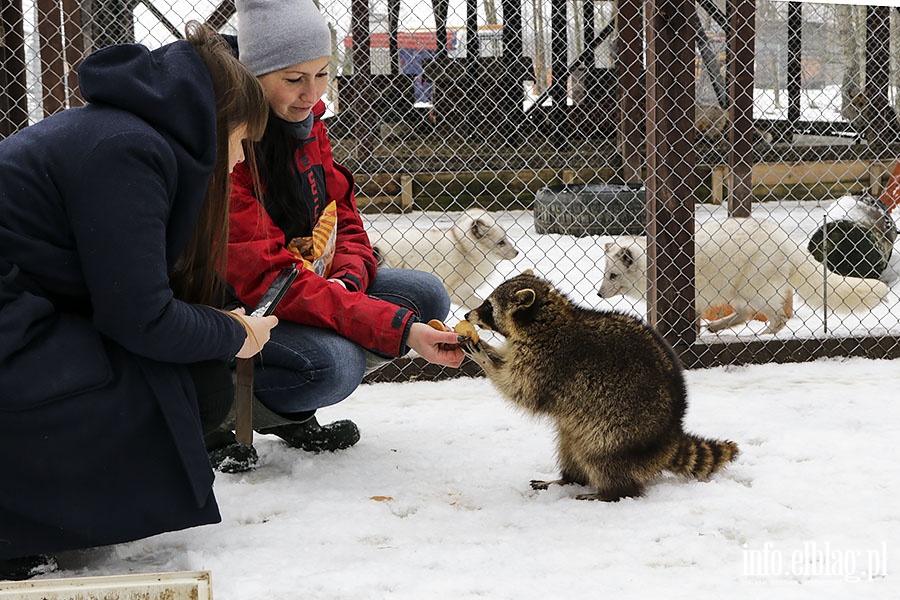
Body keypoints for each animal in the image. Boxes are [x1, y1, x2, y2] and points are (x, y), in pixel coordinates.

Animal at [464, 272, 740, 502]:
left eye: (488, 306)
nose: (467, 315)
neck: (543, 321)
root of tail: (669, 438)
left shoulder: (547, 363)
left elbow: (519, 389)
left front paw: (484, 359)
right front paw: (485, 348)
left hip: (617, 433)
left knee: (599, 458)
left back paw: (609, 492)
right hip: (579, 429)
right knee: (570, 447)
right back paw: (568, 479)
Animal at [600, 218, 888, 336]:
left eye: (613, 275)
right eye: (605, 274)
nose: (598, 293)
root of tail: (784, 238)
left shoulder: (690, 297)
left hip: (754, 290)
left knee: (777, 316)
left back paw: (764, 335)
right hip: (738, 293)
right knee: (745, 314)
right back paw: (717, 327)